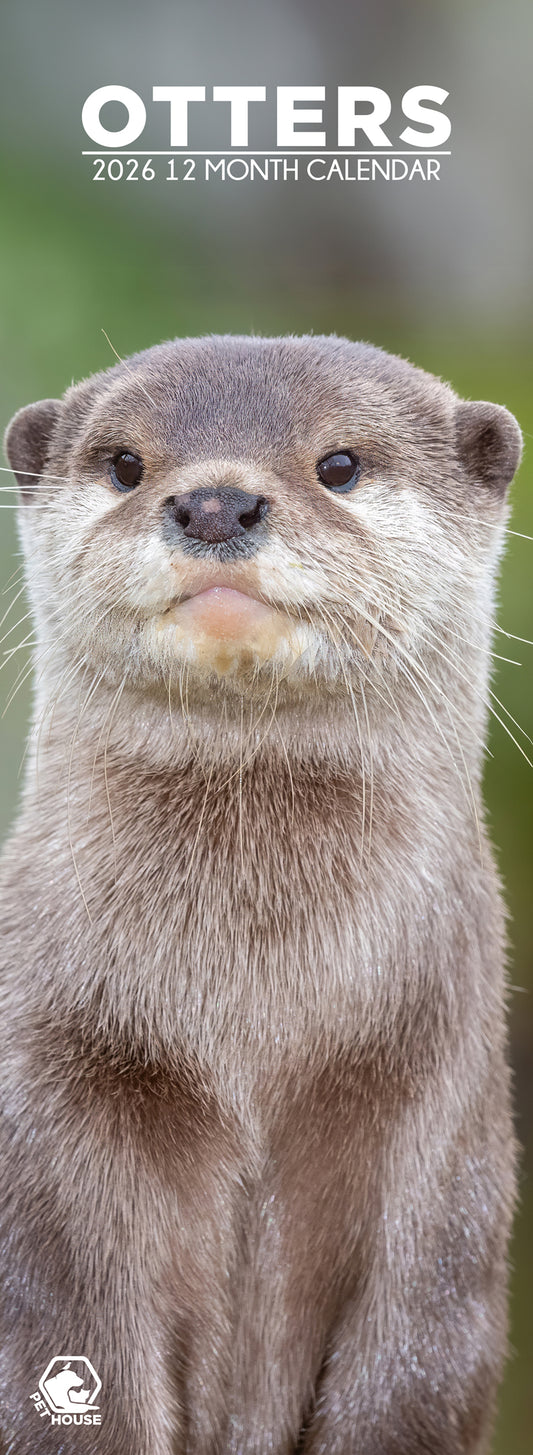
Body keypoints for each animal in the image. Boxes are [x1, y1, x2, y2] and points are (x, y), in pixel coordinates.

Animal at [0, 335, 522, 1455]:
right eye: (124, 463)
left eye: (339, 465)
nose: (214, 504)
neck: (249, 1033)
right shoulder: (46, 1110)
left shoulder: (440, 1128)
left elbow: (408, 1372)